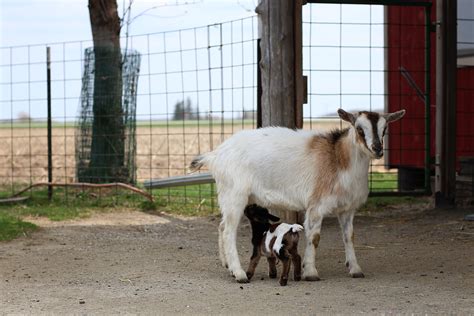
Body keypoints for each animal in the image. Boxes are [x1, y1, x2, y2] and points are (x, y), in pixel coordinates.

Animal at [191, 109, 406, 284]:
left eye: (384, 129)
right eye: (359, 129)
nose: (378, 149)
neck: (338, 159)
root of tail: (215, 155)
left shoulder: (347, 209)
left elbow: (349, 236)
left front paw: (355, 269)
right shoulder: (316, 205)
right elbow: (314, 237)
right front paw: (310, 272)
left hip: (231, 197)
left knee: (221, 227)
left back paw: (227, 266)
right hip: (235, 195)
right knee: (229, 232)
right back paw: (239, 273)